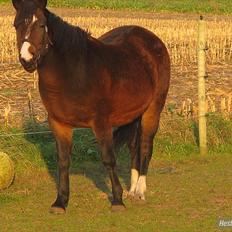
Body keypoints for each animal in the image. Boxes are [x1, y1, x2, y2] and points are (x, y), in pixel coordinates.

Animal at [12, 0, 170, 214]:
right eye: (16, 25)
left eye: (42, 25)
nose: (26, 59)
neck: (74, 72)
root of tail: (152, 39)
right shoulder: (59, 124)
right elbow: (63, 162)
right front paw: (60, 202)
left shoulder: (101, 123)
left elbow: (108, 159)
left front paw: (117, 200)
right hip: (134, 114)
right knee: (133, 147)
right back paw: (132, 188)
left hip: (153, 109)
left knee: (145, 146)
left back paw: (139, 191)